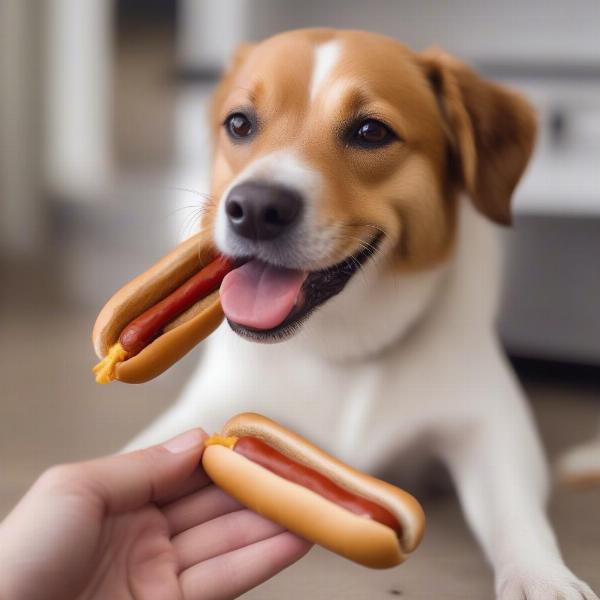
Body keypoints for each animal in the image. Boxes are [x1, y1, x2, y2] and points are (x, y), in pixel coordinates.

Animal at [129, 28, 596, 600]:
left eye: (371, 131)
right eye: (239, 123)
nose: (255, 209)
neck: (345, 347)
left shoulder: (491, 428)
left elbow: (517, 516)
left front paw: (543, 578)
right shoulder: (214, 402)